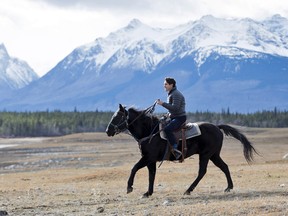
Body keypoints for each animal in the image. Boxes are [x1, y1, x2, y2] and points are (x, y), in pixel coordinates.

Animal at [106, 104, 258, 197]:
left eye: (117, 117)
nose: (108, 131)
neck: (149, 131)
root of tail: (217, 127)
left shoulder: (148, 158)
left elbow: (134, 168)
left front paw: (129, 187)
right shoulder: (150, 160)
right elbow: (151, 175)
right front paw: (148, 193)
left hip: (206, 155)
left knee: (202, 171)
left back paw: (188, 190)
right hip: (214, 155)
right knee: (224, 167)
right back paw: (228, 187)